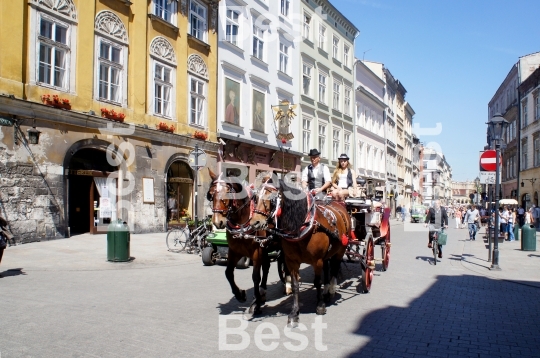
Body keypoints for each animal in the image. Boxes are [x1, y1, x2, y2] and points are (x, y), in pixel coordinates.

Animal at [208, 169, 278, 314]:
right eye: (211, 194)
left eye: (227, 192)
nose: (218, 222)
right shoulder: (234, 251)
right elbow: (228, 273)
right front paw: (240, 294)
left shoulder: (257, 252)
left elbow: (255, 276)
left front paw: (255, 304)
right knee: (267, 266)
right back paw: (263, 292)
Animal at [251, 180, 352, 326]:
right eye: (255, 198)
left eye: (272, 199)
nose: (255, 223)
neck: (302, 228)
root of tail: (339, 204)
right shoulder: (291, 261)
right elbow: (295, 285)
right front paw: (294, 312)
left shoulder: (317, 260)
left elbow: (317, 282)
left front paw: (320, 305)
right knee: (328, 267)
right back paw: (326, 290)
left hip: (341, 249)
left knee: (335, 268)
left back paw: (331, 290)